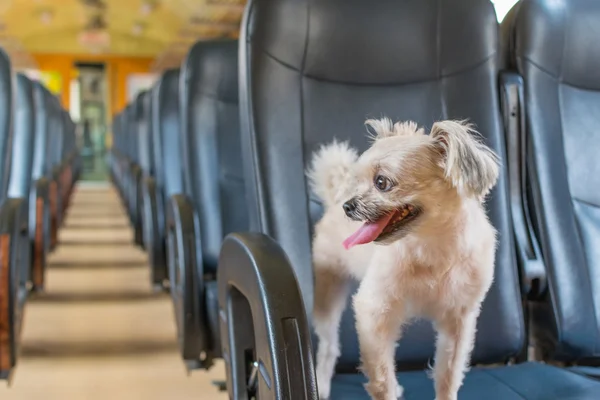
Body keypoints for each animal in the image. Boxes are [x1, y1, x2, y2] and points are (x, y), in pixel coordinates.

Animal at [308, 119, 500, 400]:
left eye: (381, 182)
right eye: (358, 182)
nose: (348, 206)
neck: (432, 248)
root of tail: (334, 196)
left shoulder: (458, 322)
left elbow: (448, 375)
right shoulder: (373, 312)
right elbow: (380, 378)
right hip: (329, 291)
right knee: (329, 344)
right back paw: (321, 383)